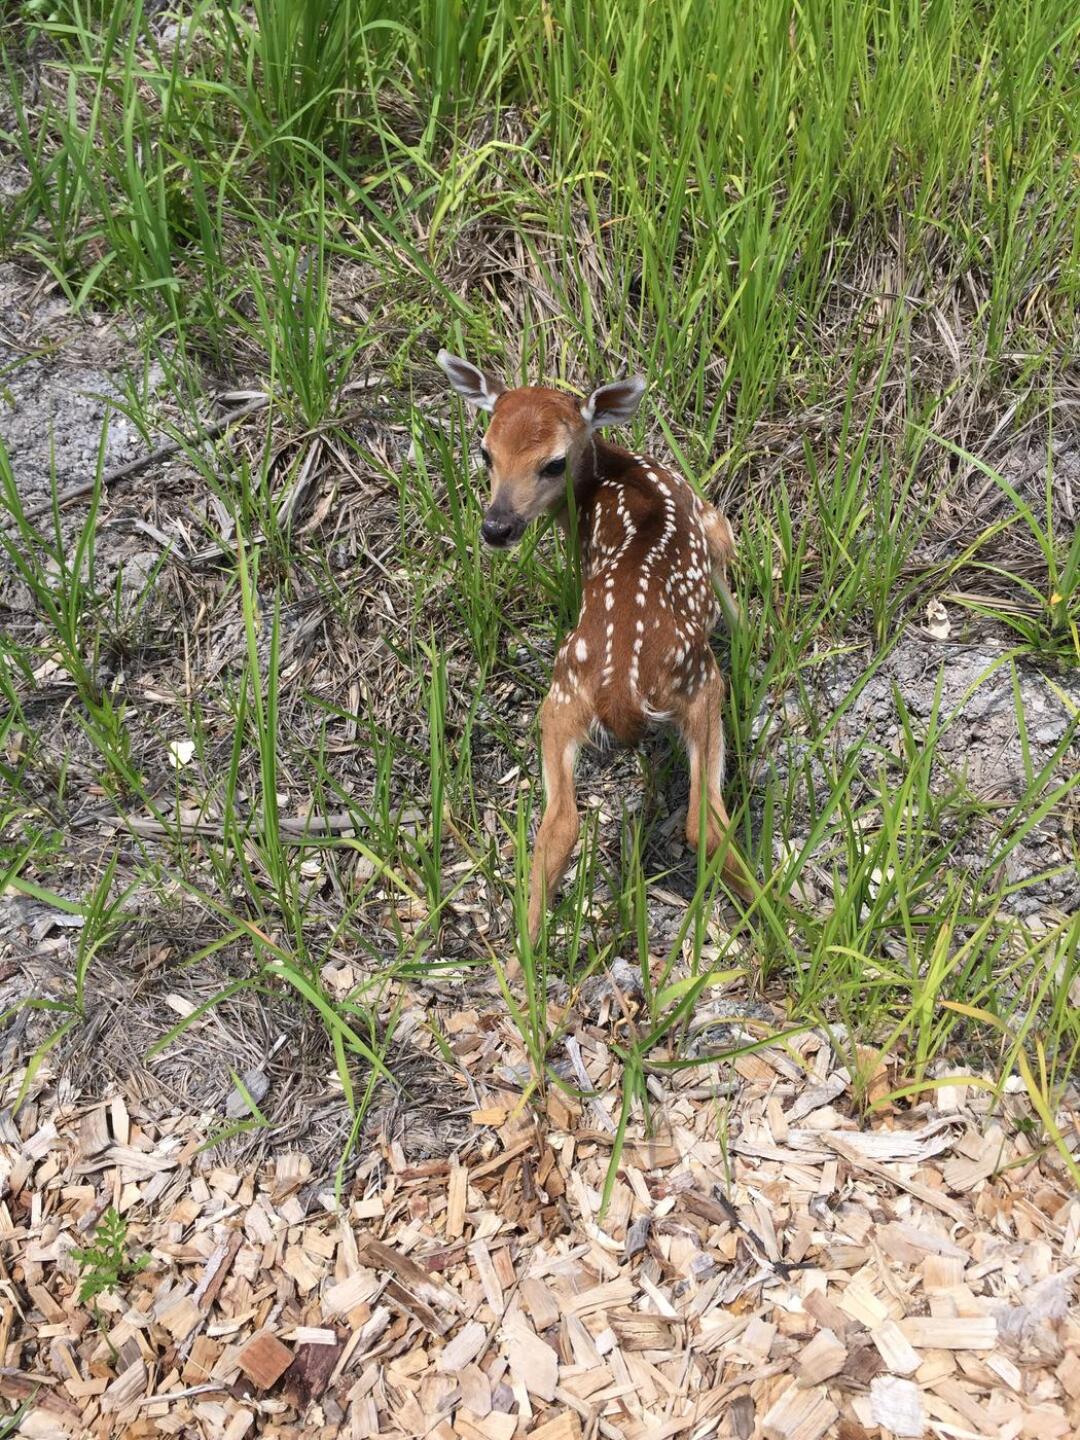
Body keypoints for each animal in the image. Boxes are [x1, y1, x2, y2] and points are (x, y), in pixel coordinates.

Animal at [436, 350, 752, 943]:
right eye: (485, 452)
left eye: (553, 463)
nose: (497, 527)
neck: (613, 473)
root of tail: (622, 693)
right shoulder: (710, 519)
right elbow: (732, 591)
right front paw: (748, 627)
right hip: (701, 683)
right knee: (705, 819)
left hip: (561, 699)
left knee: (558, 825)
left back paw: (521, 955)